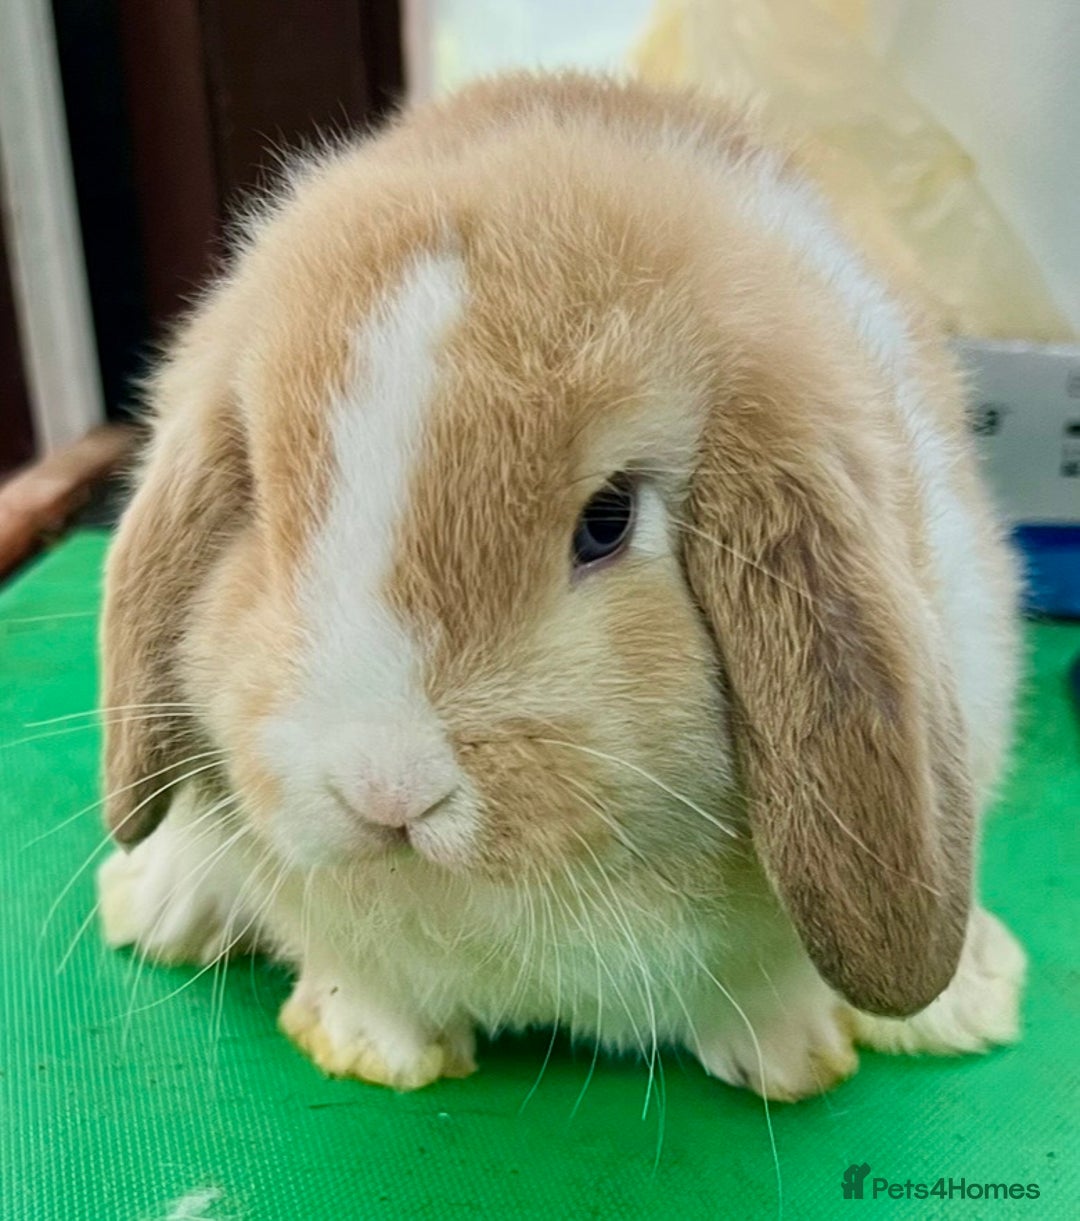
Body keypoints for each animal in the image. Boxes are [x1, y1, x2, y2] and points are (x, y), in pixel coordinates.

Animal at [95, 73, 1026, 1100]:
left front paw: (791, 1058)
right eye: (259, 495)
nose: (388, 790)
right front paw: (377, 1046)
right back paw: (158, 904)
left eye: (608, 520)